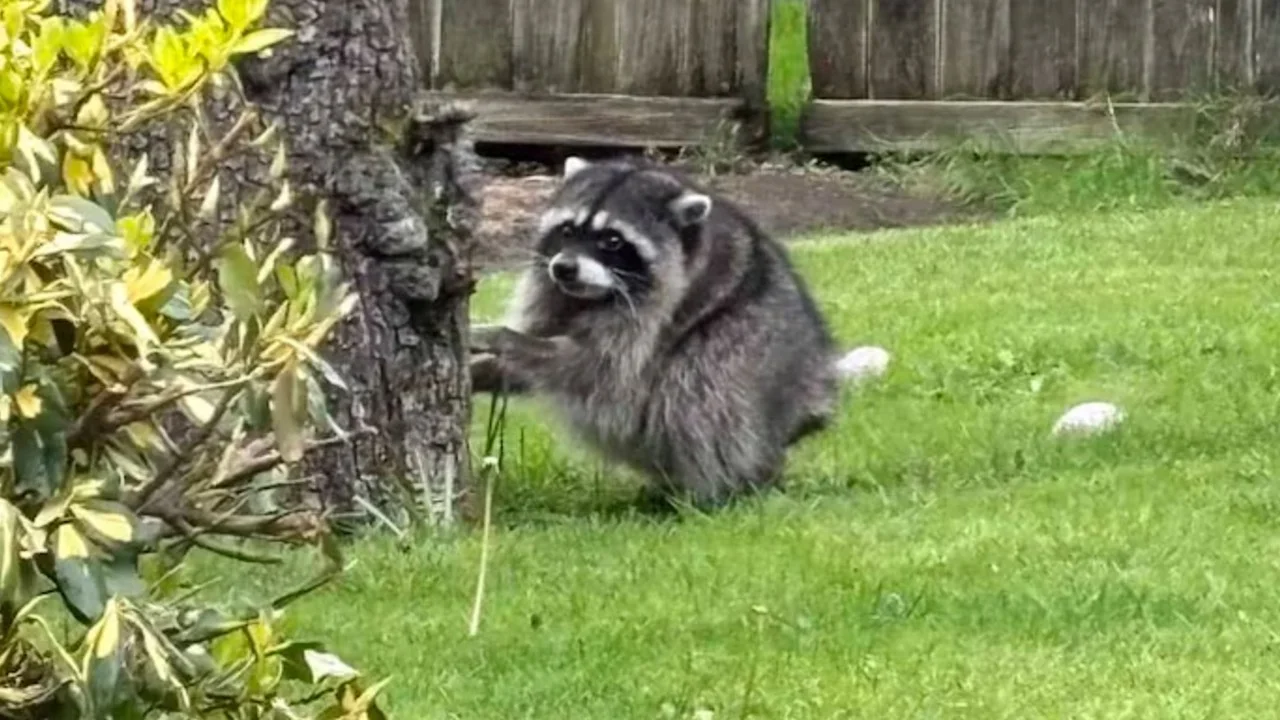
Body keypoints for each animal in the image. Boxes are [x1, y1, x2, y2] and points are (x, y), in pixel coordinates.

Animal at [470, 156, 850, 508]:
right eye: (566, 231)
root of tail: (812, 398)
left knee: (700, 386)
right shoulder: (552, 292)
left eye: (612, 241)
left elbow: (593, 368)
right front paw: (486, 369)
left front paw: (505, 338)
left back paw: (714, 491)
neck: (594, 296)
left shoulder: (654, 314)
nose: (564, 268)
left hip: (753, 353)